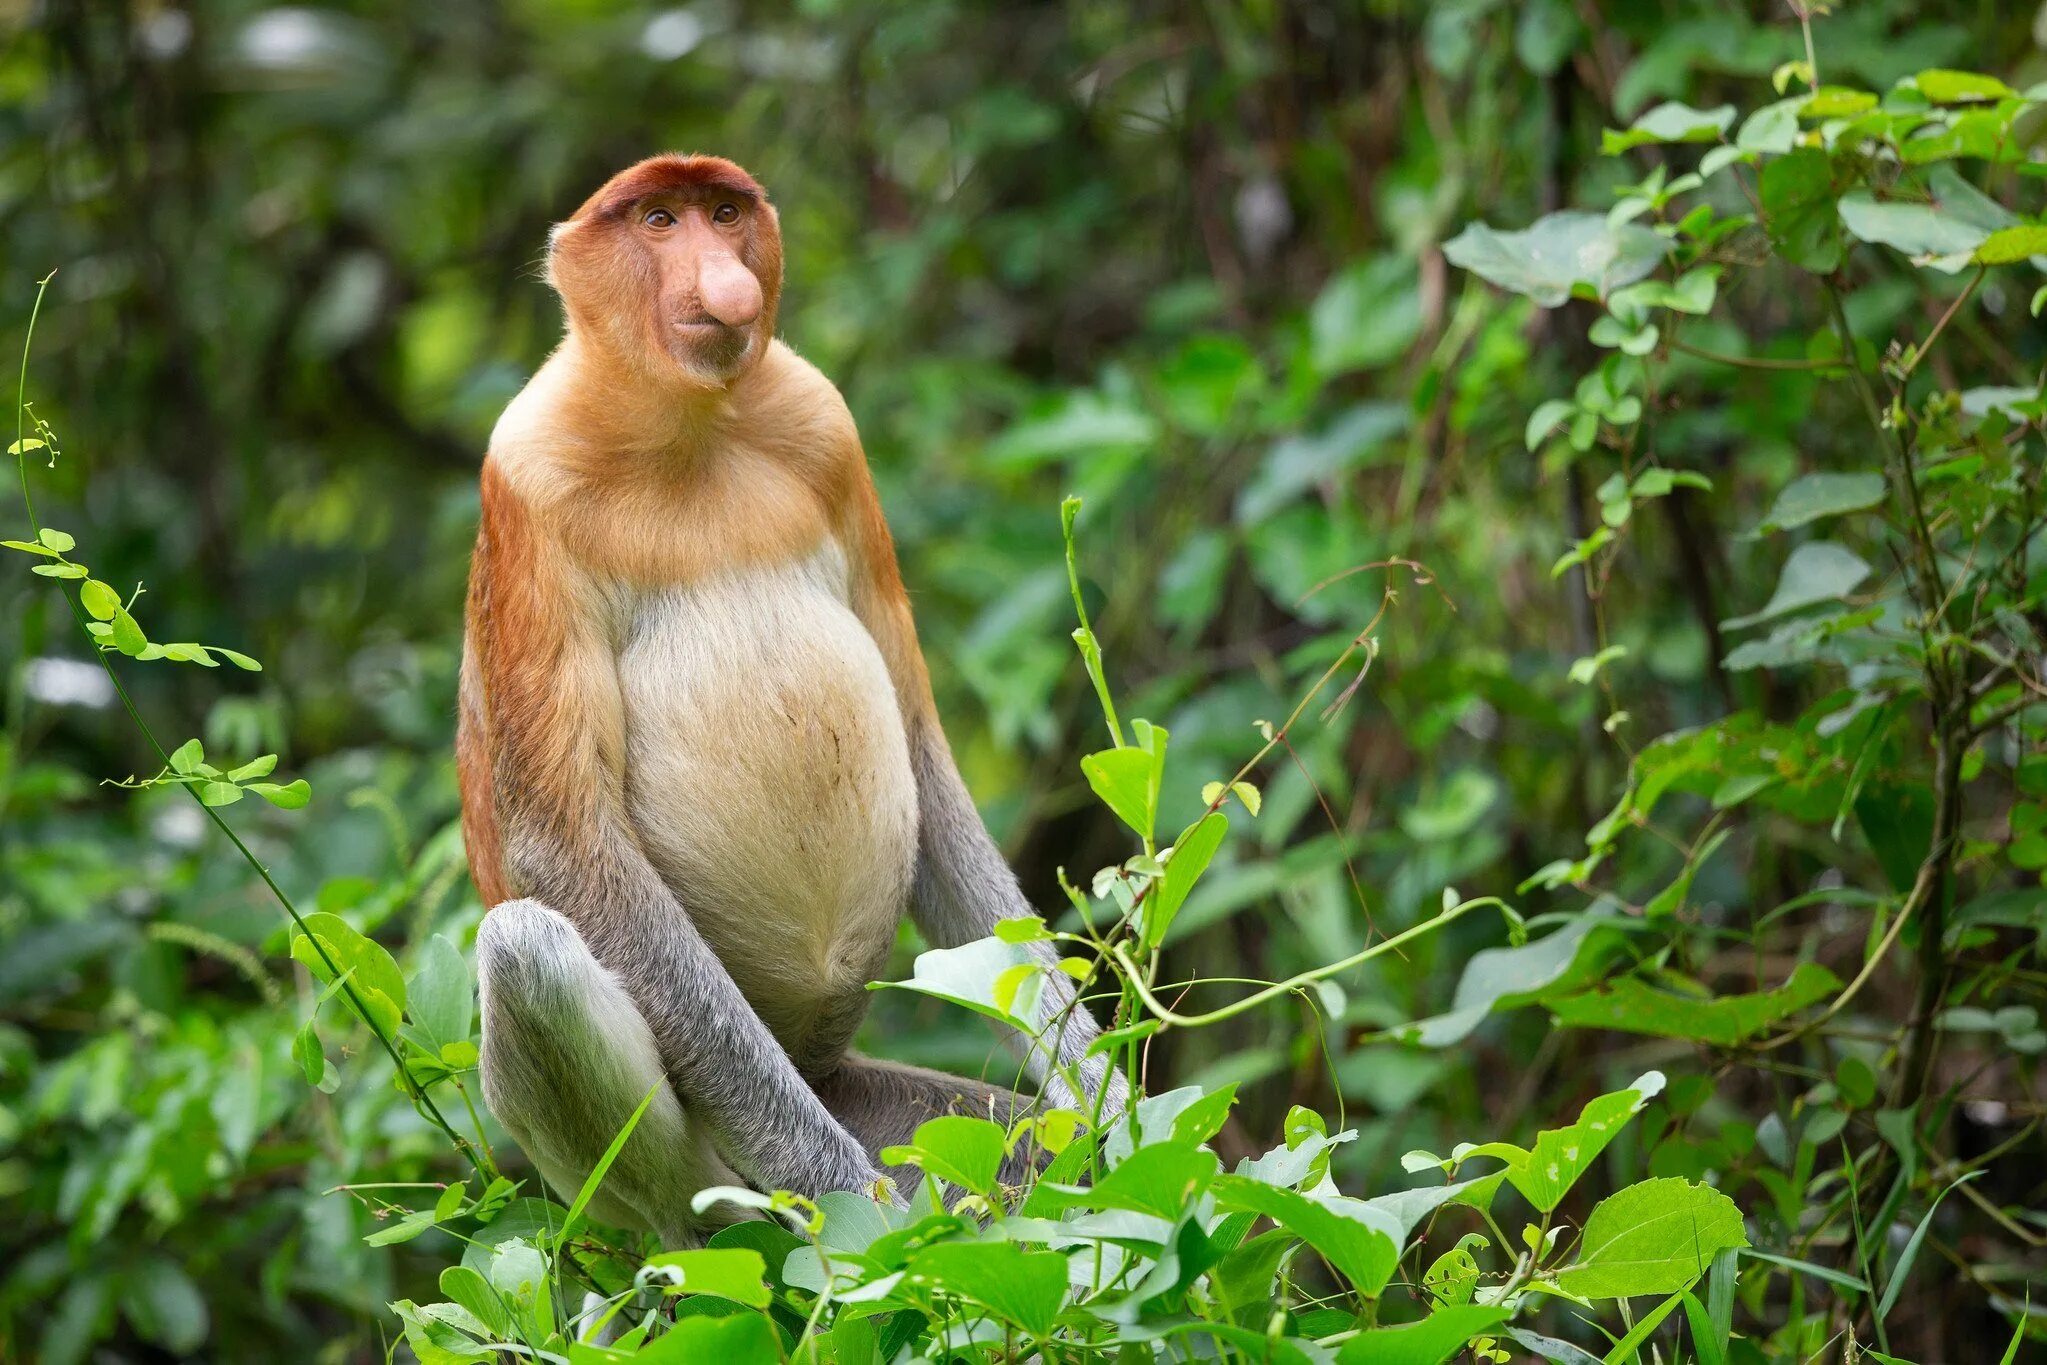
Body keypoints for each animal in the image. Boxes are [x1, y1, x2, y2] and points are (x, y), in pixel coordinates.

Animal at [458, 154, 1129, 1244]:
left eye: (726, 213)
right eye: (658, 219)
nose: (726, 281)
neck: (691, 429)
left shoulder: (826, 426)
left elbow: (921, 758)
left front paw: (1115, 1112)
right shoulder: (527, 483)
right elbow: (563, 846)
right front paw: (856, 1198)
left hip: (881, 1099)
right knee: (525, 948)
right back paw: (714, 1231)